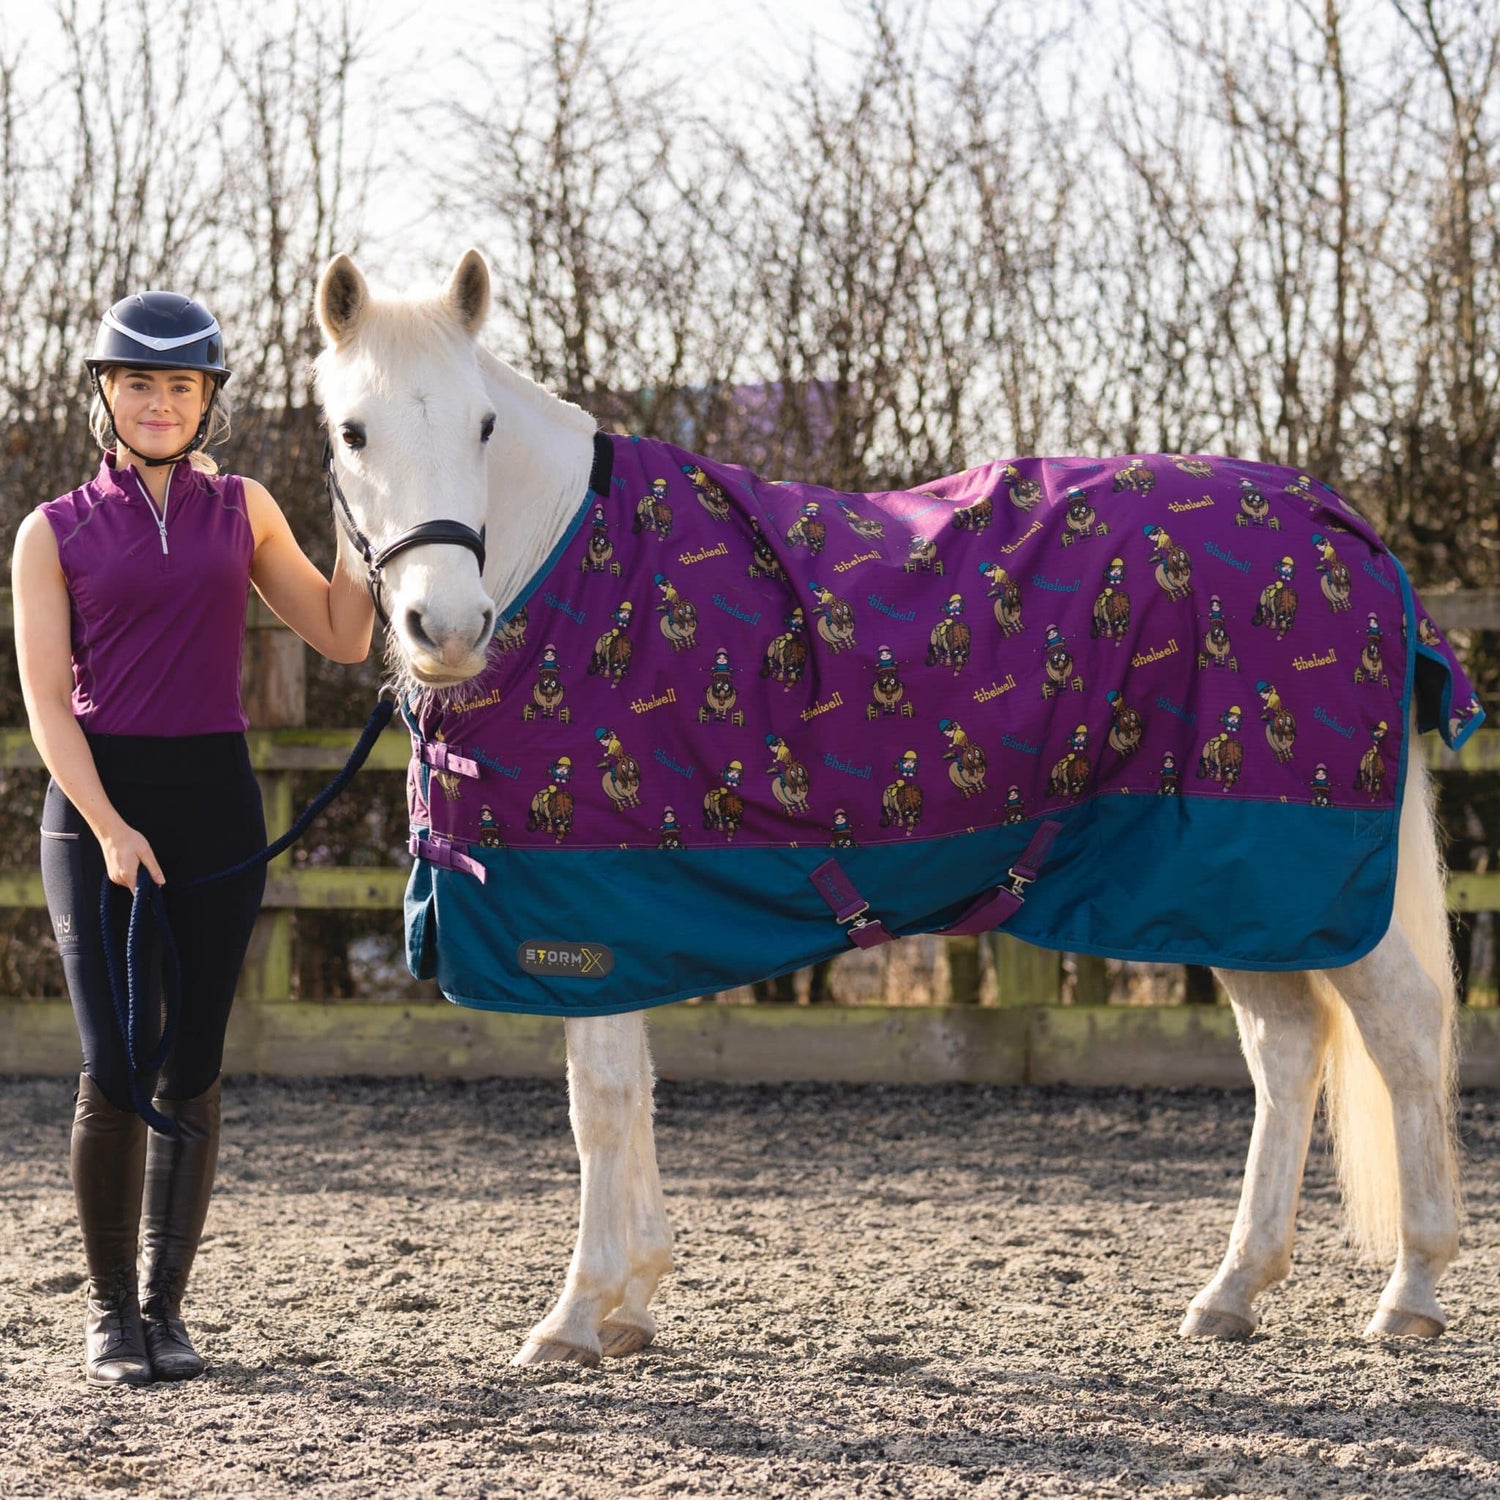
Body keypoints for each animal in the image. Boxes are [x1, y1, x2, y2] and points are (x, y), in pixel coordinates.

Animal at [312, 248, 1467, 1367]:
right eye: (352, 431)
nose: (447, 625)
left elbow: (597, 1106)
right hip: (1231, 884)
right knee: (1286, 1050)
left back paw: (1412, 1290)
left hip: (1299, 875)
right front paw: (633, 1300)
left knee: (1406, 1032)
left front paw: (576, 1315)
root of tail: (1346, 527)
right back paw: (1233, 1291)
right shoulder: (620, 915)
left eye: (483, 424)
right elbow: (632, 1094)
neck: (572, 572)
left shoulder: (583, 916)